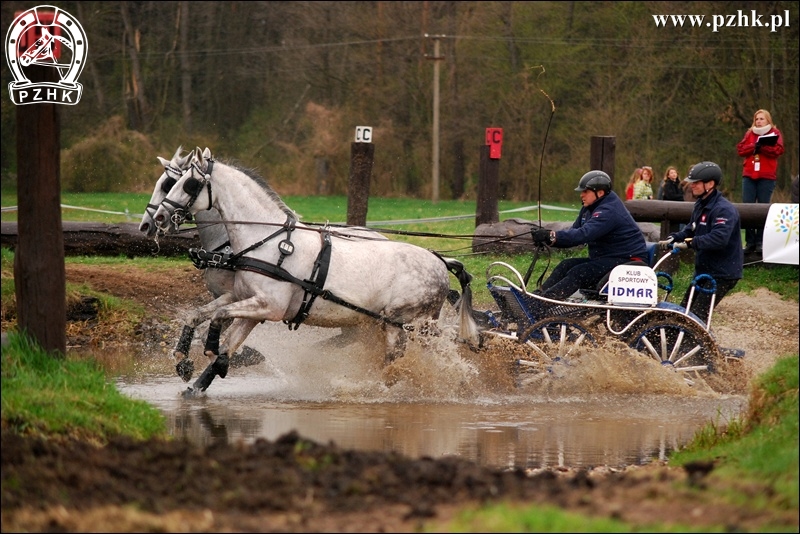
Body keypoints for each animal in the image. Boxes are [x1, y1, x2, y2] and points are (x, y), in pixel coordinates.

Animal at [155, 149, 482, 396]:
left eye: (187, 184)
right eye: (174, 182)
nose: (157, 218)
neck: (267, 241)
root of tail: (439, 260)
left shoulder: (269, 307)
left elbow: (219, 322)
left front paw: (210, 355)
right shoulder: (249, 304)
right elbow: (208, 323)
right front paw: (192, 374)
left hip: (401, 324)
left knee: (396, 362)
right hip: (403, 326)